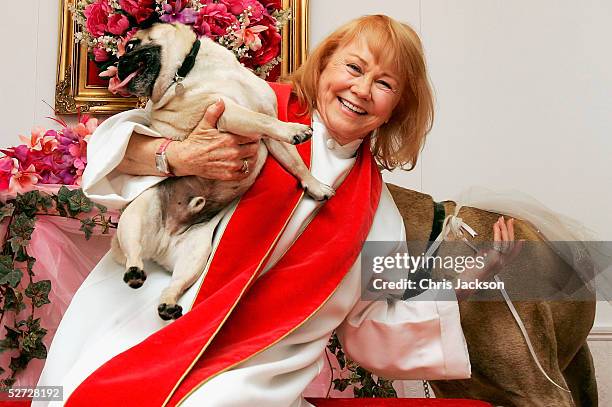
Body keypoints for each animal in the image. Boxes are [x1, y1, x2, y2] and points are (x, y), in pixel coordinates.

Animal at [109, 23, 334, 322]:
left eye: (132, 46)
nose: (119, 65)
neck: (188, 68)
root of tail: (159, 246)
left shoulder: (267, 129)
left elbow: (294, 159)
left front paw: (315, 185)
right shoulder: (227, 112)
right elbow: (262, 121)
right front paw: (294, 129)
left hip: (196, 254)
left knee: (175, 283)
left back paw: (168, 303)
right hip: (135, 219)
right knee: (133, 251)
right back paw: (134, 272)